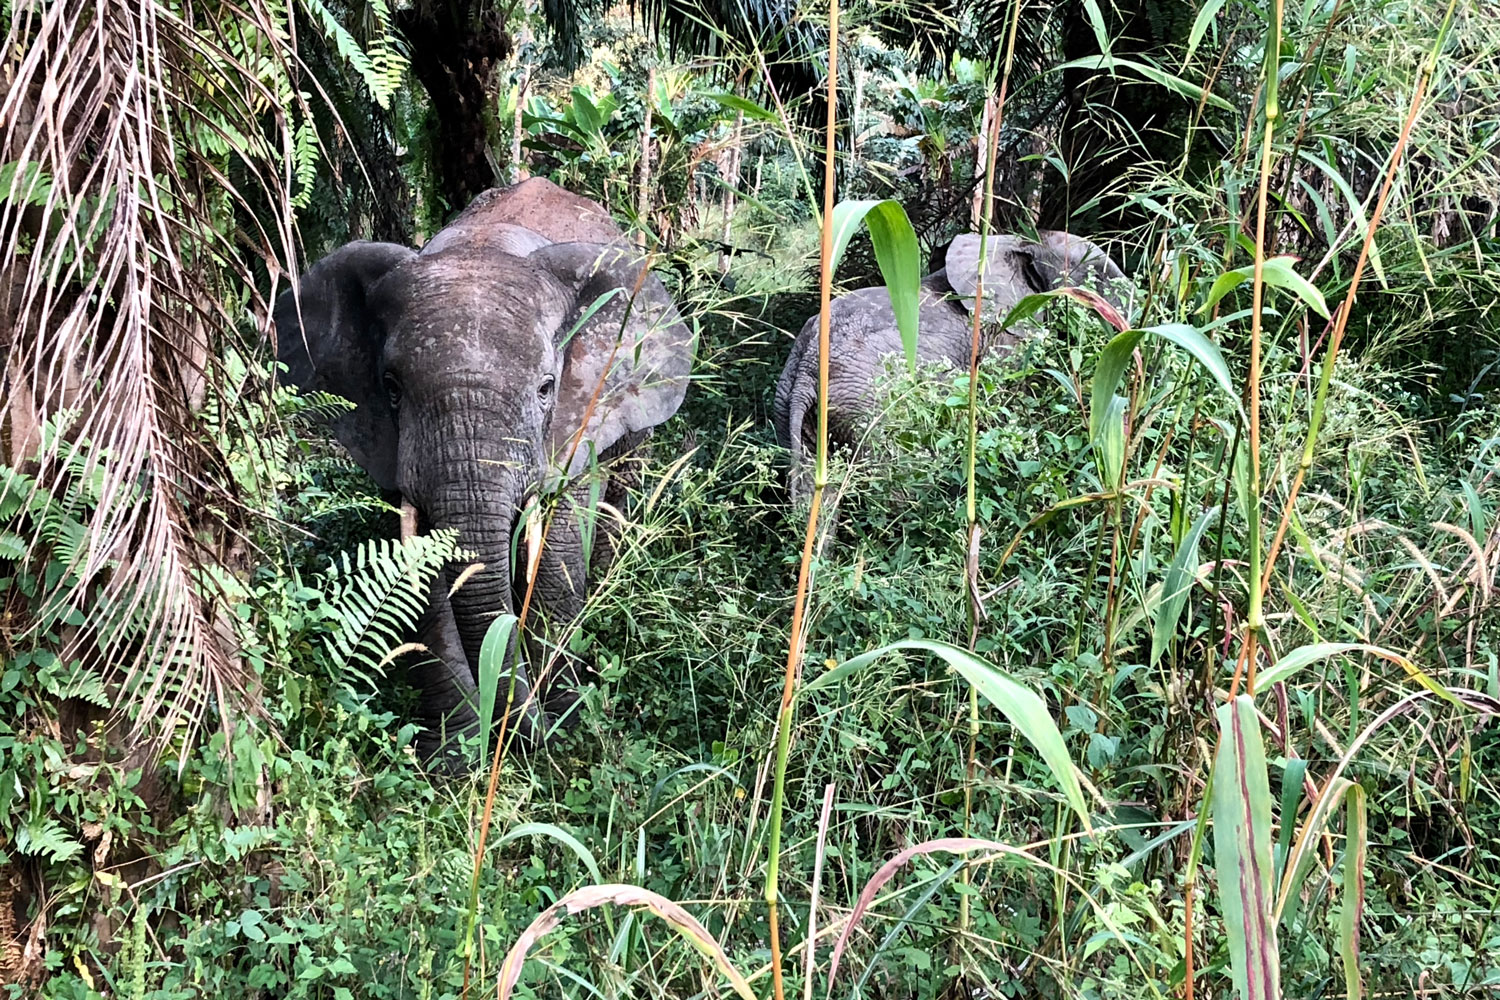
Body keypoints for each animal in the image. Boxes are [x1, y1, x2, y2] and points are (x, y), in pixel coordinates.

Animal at [273, 177, 693, 767]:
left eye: (546, 389)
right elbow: (415, 574)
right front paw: (454, 758)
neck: (483, 246)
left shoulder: (574, 422)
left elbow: (558, 557)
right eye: (391, 388)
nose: (518, 735)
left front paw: (561, 732)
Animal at [774, 230, 1128, 488]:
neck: (1020, 241)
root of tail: (808, 366)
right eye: (1097, 279)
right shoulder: (1002, 339)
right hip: (870, 408)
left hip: (787, 405)